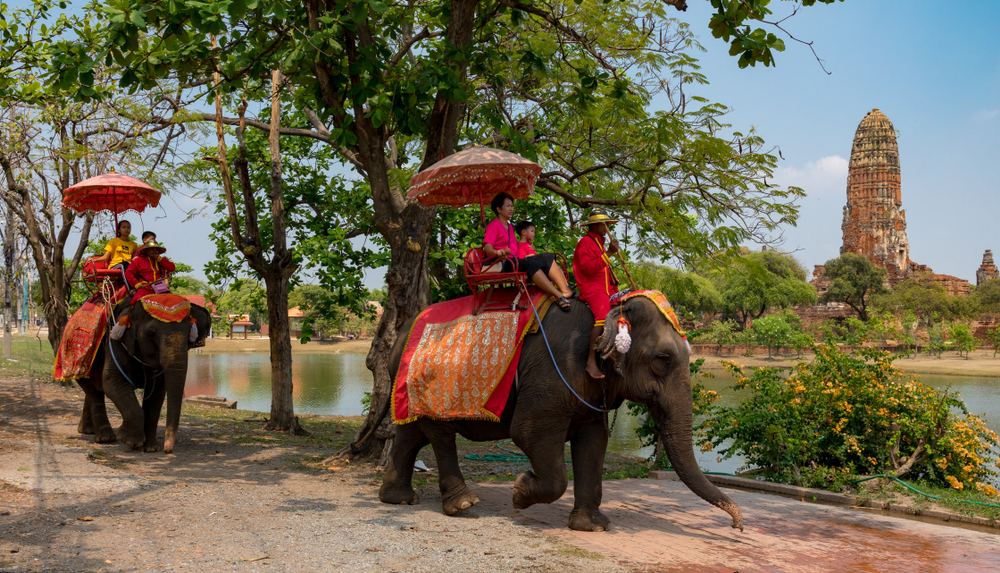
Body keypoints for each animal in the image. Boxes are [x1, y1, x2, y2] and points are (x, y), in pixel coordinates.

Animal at [74, 298, 211, 454]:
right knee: (93, 391)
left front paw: (151, 448)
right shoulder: (115, 342)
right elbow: (112, 381)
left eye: (189, 333)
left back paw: (87, 430)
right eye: (151, 333)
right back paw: (105, 438)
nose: (167, 450)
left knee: (94, 390)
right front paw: (129, 440)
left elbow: (157, 392)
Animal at [380, 294, 744, 532]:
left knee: (412, 434)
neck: (606, 315)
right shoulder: (553, 375)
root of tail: (399, 337)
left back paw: (397, 499)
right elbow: (529, 432)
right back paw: (463, 505)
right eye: (663, 359)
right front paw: (520, 492)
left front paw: (592, 526)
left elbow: (594, 442)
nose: (737, 526)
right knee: (440, 435)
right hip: (428, 384)